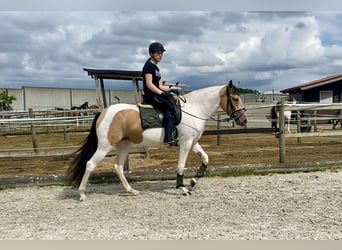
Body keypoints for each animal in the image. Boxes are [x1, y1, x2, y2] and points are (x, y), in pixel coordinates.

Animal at [67, 80, 247, 201]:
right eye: (235, 98)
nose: (243, 120)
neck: (195, 109)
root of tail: (103, 112)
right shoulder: (186, 143)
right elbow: (181, 165)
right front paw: (182, 188)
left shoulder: (193, 142)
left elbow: (205, 158)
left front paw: (193, 181)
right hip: (105, 146)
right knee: (90, 164)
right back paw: (82, 194)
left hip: (124, 145)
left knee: (118, 167)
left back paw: (132, 191)